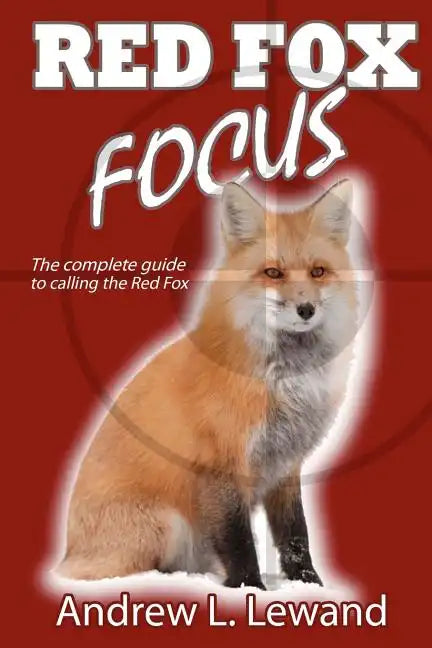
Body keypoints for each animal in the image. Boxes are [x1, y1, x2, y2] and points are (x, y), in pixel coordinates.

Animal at [58, 179, 357, 589]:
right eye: (273, 273)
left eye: (318, 271)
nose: (306, 309)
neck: (282, 381)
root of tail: (67, 552)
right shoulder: (219, 462)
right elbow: (238, 538)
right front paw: (249, 587)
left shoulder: (286, 464)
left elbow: (296, 534)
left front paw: (309, 586)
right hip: (169, 527)